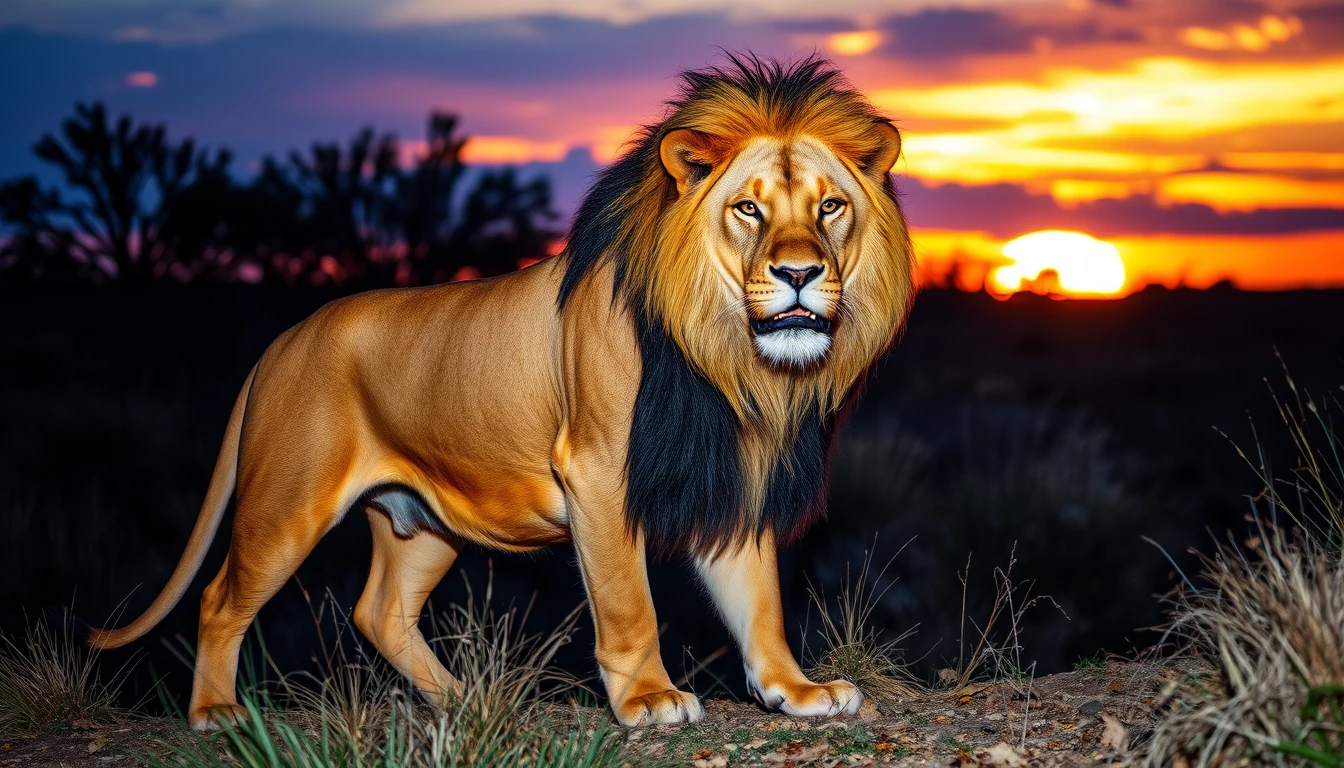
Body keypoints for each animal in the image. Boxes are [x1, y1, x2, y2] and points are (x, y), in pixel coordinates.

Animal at [87, 55, 915, 730]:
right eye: (748, 208)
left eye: (830, 206)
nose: (800, 273)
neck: (730, 361)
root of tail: (280, 343)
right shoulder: (597, 472)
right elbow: (629, 601)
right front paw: (649, 699)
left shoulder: (728, 474)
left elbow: (760, 599)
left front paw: (795, 690)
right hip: (287, 499)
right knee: (220, 598)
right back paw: (216, 712)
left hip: (423, 520)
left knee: (379, 609)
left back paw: (461, 700)